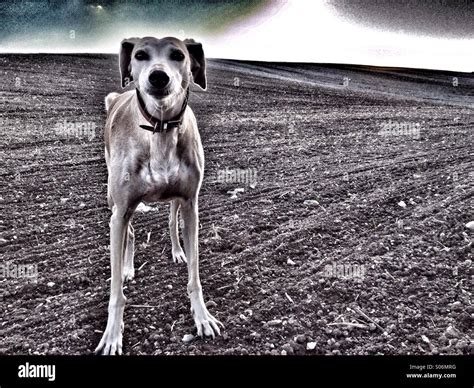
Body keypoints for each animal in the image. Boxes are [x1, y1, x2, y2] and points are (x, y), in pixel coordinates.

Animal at [96, 36, 224, 354]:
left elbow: (195, 276)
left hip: (176, 199)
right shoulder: (121, 209)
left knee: (171, 219)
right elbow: (116, 293)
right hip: (115, 203)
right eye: (140, 55)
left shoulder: (191, 203)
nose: (158, 77)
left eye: (178, 55)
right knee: (128, 231)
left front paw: (202, 317)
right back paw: (128, 268)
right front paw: (112, 334)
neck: (161, 128)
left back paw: (178, 251)